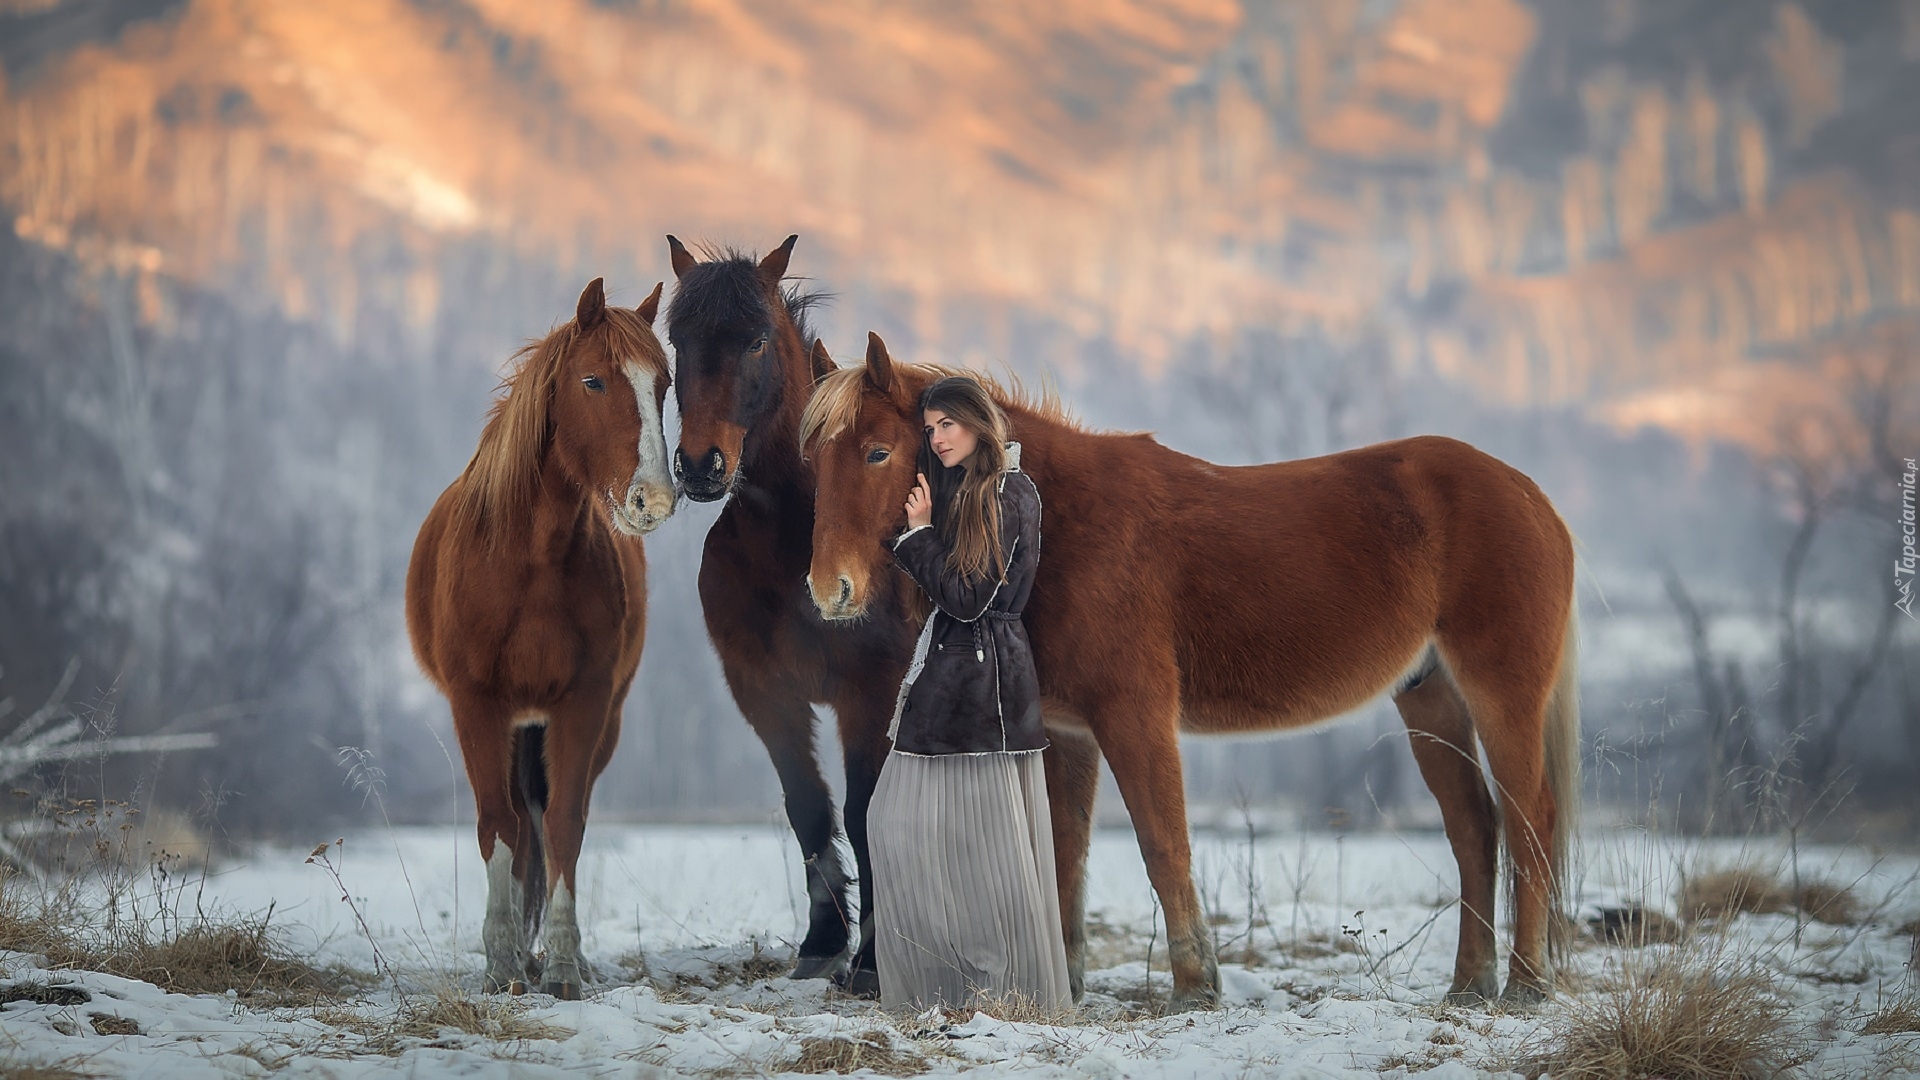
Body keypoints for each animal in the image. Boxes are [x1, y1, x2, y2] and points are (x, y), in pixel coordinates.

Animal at [405, 274, 675, 991]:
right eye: (593, 381)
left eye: (664, 384)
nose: (654, 500)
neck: (530, 562)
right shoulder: (478, 704)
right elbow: (499, 826)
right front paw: (502, 961)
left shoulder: (583, 704)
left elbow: (563, 825)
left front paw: (561, 963)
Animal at [668, 235, 913, 983]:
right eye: (677, 339)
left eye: (755, 340)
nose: (701, 466)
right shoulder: (764, 690)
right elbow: (809, 808)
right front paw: (823, 941)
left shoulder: (871, 694)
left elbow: (863, 813)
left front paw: (870, 962)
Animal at [802, 336, 1582, 1006]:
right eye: (816, 461)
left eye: (877, 452)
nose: (828, 590)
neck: (1061, 518)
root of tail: (1531, 498)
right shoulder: (1066, 732)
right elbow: (1065, 851)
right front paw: (1071, 984)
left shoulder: (1133, 713)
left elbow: (1162, 843)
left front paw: (1194, 986)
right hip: (1431, 698)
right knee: (1475, 828)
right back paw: (1471, 983)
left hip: (1501, 694)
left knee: (1530, 820)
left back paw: (1526, 984)